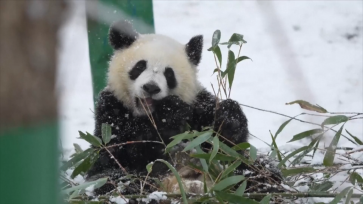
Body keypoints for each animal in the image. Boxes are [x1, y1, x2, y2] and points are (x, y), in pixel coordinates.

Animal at [86, 20, 249, 196]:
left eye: (169, 74)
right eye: (139, 67)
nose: (151, 87)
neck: (147, 115)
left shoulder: (199, 107)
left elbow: (230, 149)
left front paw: (229, 116)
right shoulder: (110, 112)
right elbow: (120, 150)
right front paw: (171, 113)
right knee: (111, 179)